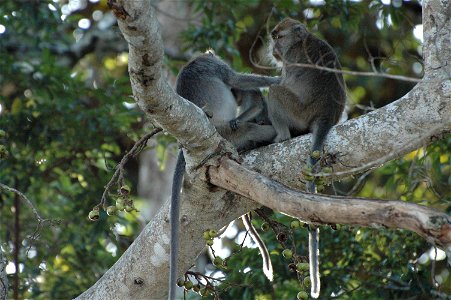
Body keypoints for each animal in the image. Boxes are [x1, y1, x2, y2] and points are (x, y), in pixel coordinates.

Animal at [268, 18, 350, 298]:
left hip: (299, 112)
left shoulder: (290, 60)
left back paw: (281, 135)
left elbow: (280, 81)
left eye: (278, 38)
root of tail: (326, 113)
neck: (301, 40)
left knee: (275, 91)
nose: (273, 48)